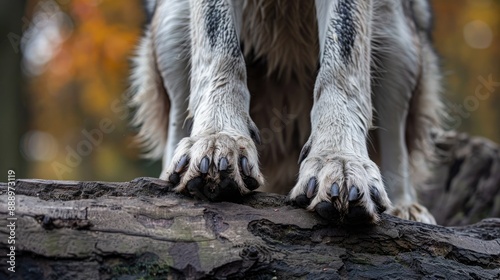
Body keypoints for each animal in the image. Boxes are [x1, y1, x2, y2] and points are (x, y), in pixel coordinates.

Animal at [130, 0, 442, 224]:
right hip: (171, 24)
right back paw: (169, 181)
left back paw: (404, 209)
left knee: (396, 141)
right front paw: (218, 138)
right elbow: (220, 49)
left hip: (396, 35)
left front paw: (339, 160)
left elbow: (341, 63)